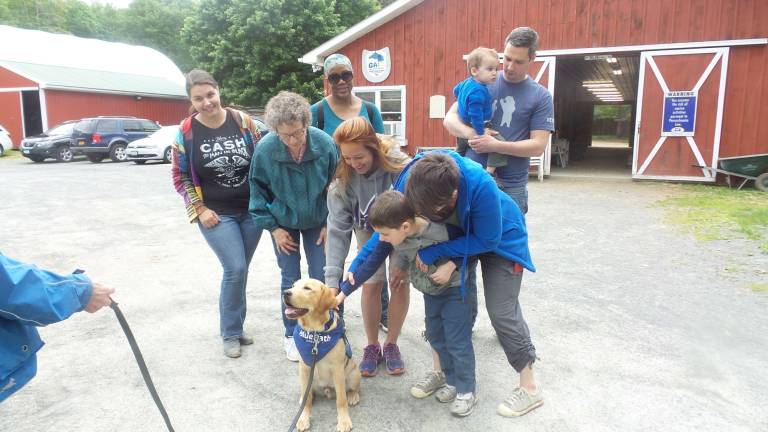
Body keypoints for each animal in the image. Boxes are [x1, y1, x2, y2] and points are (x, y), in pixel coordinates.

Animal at [284, 278, 362, 430]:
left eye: (307, 288)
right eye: (293, 286)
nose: (285, 292)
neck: (315, 334)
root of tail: (328, 388)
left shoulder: (338, 370)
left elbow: (341, 400)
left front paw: (344, 421)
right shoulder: (304, 368)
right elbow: (307, 399)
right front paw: (303, 418)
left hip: (354, 373)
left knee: (351, 389)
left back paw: (353, 396)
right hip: (309, 379)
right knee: (308, 394)